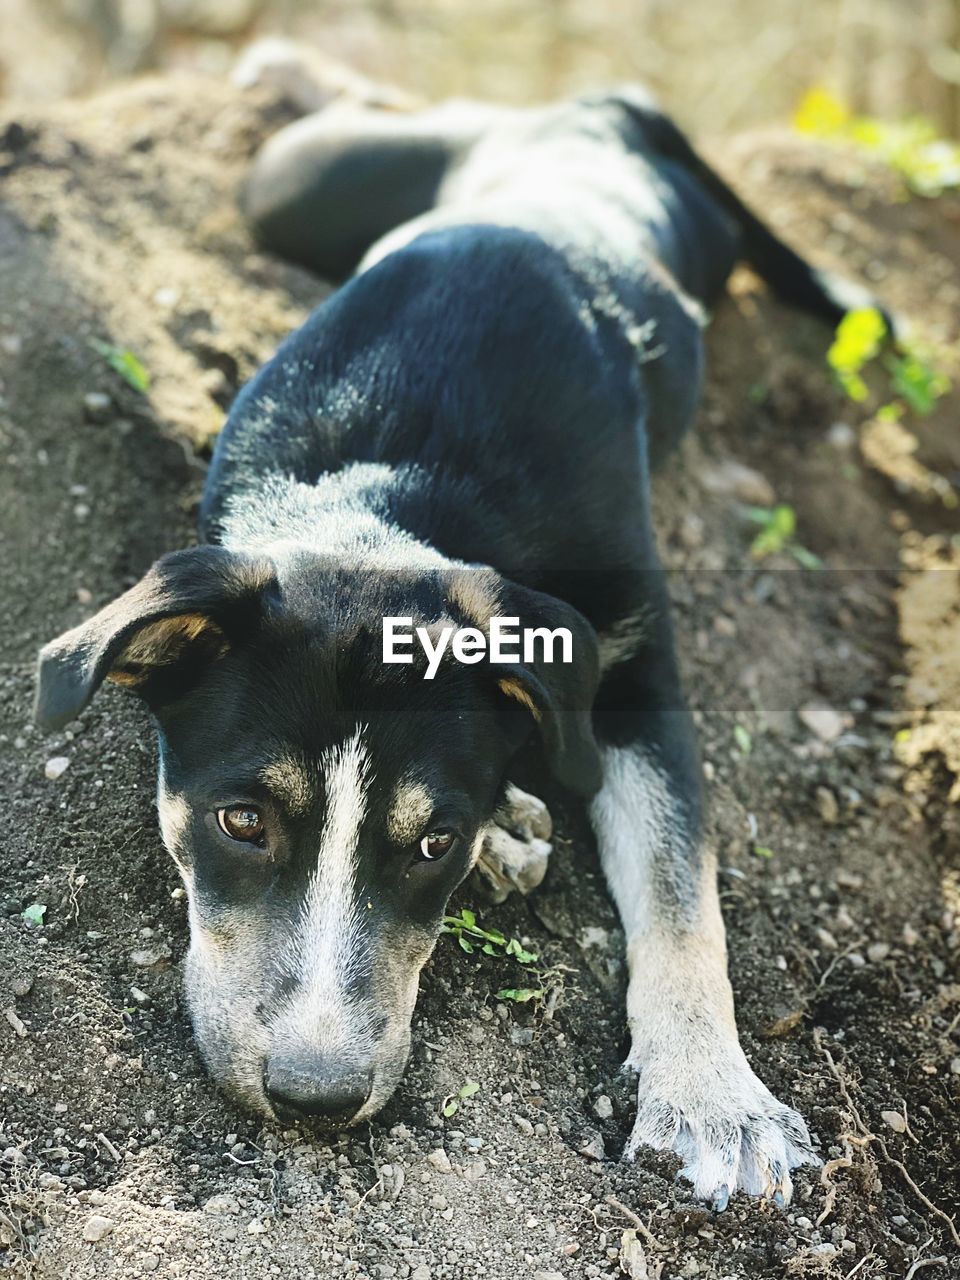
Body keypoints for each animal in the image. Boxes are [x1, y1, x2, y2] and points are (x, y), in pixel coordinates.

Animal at [33, 87, 885, 1208]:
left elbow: (677, 885)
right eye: (241, 820)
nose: (315, 1097)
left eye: (433, 844)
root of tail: (593, 102)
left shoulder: (636, 668)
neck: (389, 494)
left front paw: (714, 1097)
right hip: (299, 180)